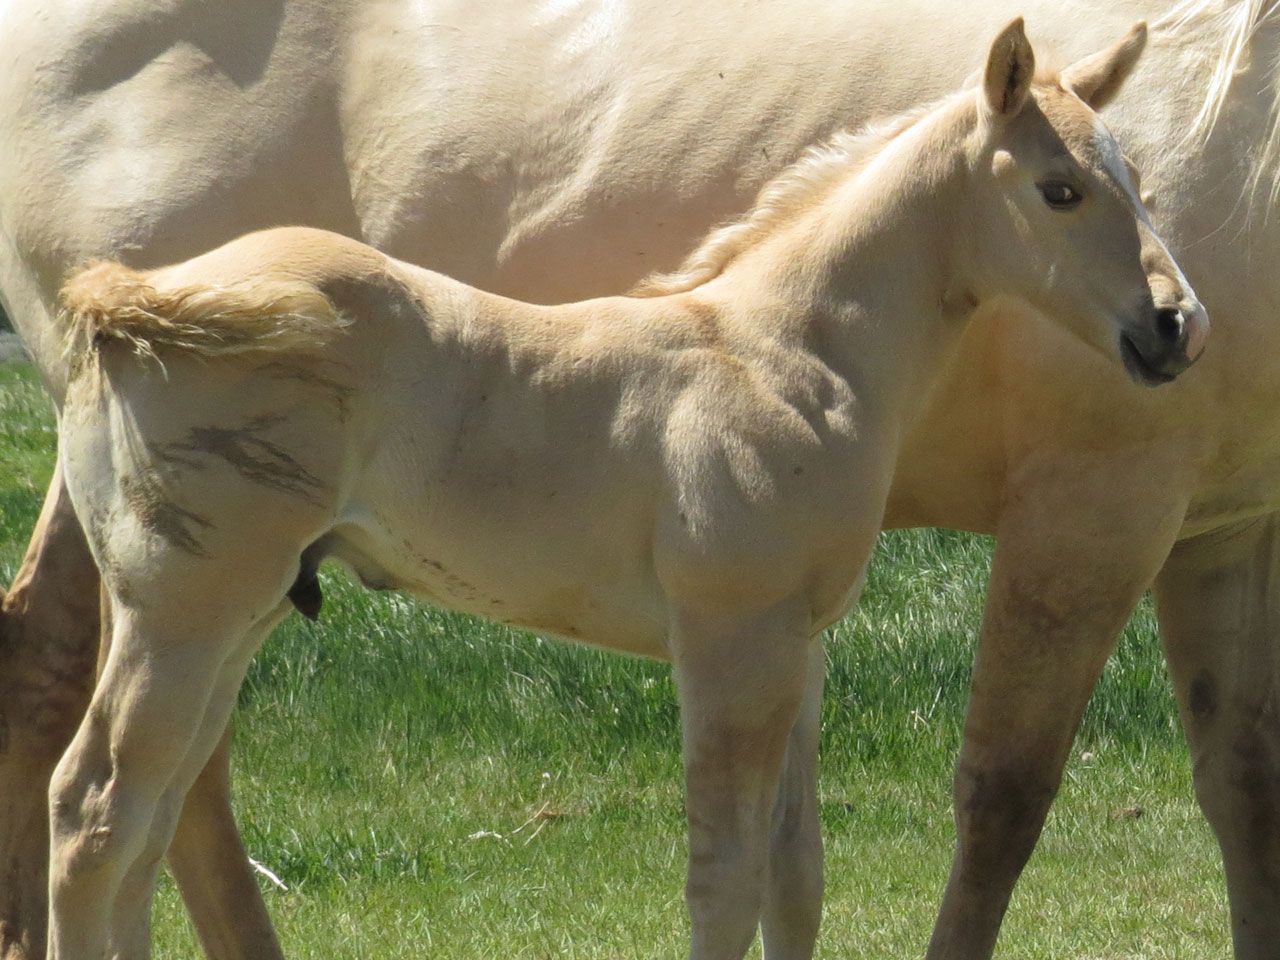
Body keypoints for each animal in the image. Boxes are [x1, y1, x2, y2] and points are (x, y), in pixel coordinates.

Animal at [0, 1, 1274, 958]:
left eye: (1139, 178)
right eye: (1061, 190)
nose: (1177, 330)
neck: (776, 349)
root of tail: (129, 300)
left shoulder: (795, 646)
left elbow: (792, 875)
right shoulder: (728, 641)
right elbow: (722, 874)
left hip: (224, 613)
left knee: (147, 811)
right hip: (191, 609)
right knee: (99, 808)